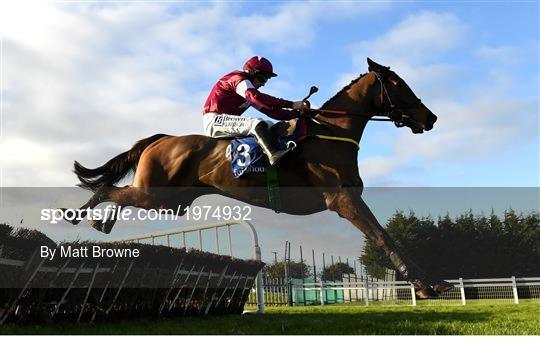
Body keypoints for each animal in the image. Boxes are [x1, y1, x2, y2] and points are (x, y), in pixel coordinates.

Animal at [66, 58, 452, 296]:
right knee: (109, 188)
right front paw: (426, 284)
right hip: (158, 195)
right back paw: (78, 214)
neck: (331, 134)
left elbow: (386, 236)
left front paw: (435, 282)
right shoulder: (345, 200)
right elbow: (385, 238)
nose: (430, 117)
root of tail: (160, 139)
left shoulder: (349, 200)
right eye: (399, 84)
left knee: (118, 192)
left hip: (170, 202)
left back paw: (102, 223)